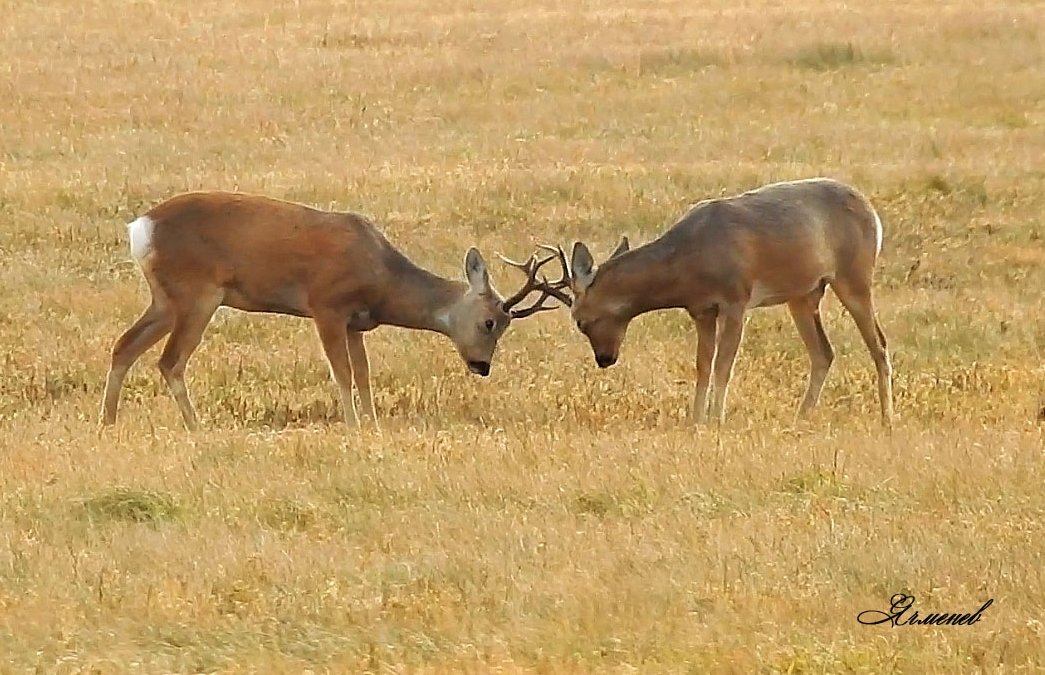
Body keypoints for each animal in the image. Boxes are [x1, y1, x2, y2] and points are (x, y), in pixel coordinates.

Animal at [99, 193, 564, 430]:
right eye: (490, 323)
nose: (481, 367)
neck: (382, 277)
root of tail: (140, 228)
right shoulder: (326, 305)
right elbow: (341, 372)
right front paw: (353, 425)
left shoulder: (357, 322)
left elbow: (363, 373)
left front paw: (372, 424)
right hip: (196, 294)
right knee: (170, 360)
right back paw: (196, 427)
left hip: (164, 298)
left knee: (124, 346)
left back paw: (109, 422)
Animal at [518, 177, 894, 426]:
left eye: (581, 320)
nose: (605, 359)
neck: (688, 258)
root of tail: (872, 213)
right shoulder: (701, 310)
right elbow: (702, 364)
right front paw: (695, 420)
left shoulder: (736, 300)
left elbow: (724, 364)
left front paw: (716, 420)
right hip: (804, 295)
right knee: (824, 352)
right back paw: (800, 420)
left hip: (854, 277)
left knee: (879, 344)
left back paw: (886, 420)